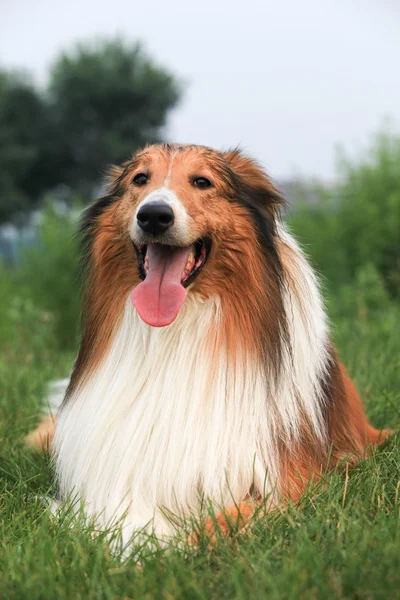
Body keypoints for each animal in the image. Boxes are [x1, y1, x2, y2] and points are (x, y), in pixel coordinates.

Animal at [28, 144, 390, 544]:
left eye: (202, 182)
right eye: (140, 179)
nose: (154, 216)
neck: (178, 329)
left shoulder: (296, 482)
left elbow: (219, 522)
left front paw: (163, 546)